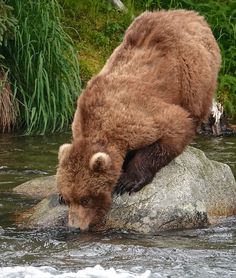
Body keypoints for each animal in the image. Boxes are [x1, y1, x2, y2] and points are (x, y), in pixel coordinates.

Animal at [56, 9, 221, 231]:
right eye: (68, 198)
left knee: (195, 103)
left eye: (85, 199)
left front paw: (127, 182)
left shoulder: (137, 116)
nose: (75, 226)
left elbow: (175, 126)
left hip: (192, 69)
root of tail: (193, 15)